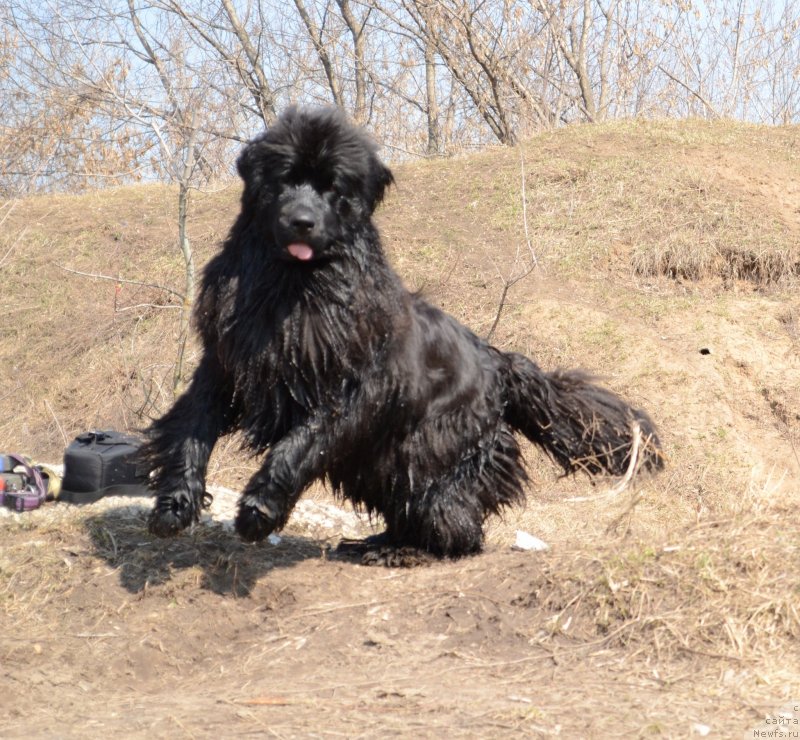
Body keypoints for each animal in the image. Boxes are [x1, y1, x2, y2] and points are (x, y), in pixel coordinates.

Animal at [142, 107, 664, 560]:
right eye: (285, 179)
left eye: (334, 187)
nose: (302, 221)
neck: (293, 285)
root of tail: (497, 360)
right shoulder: (225, 361)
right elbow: (192, 427)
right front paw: (175, 504)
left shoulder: (350, 386)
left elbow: (302, 440)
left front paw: (259, 509)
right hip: (377, 461)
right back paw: (376, 543)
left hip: (426, 447)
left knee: (455, 523)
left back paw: (401, 551)